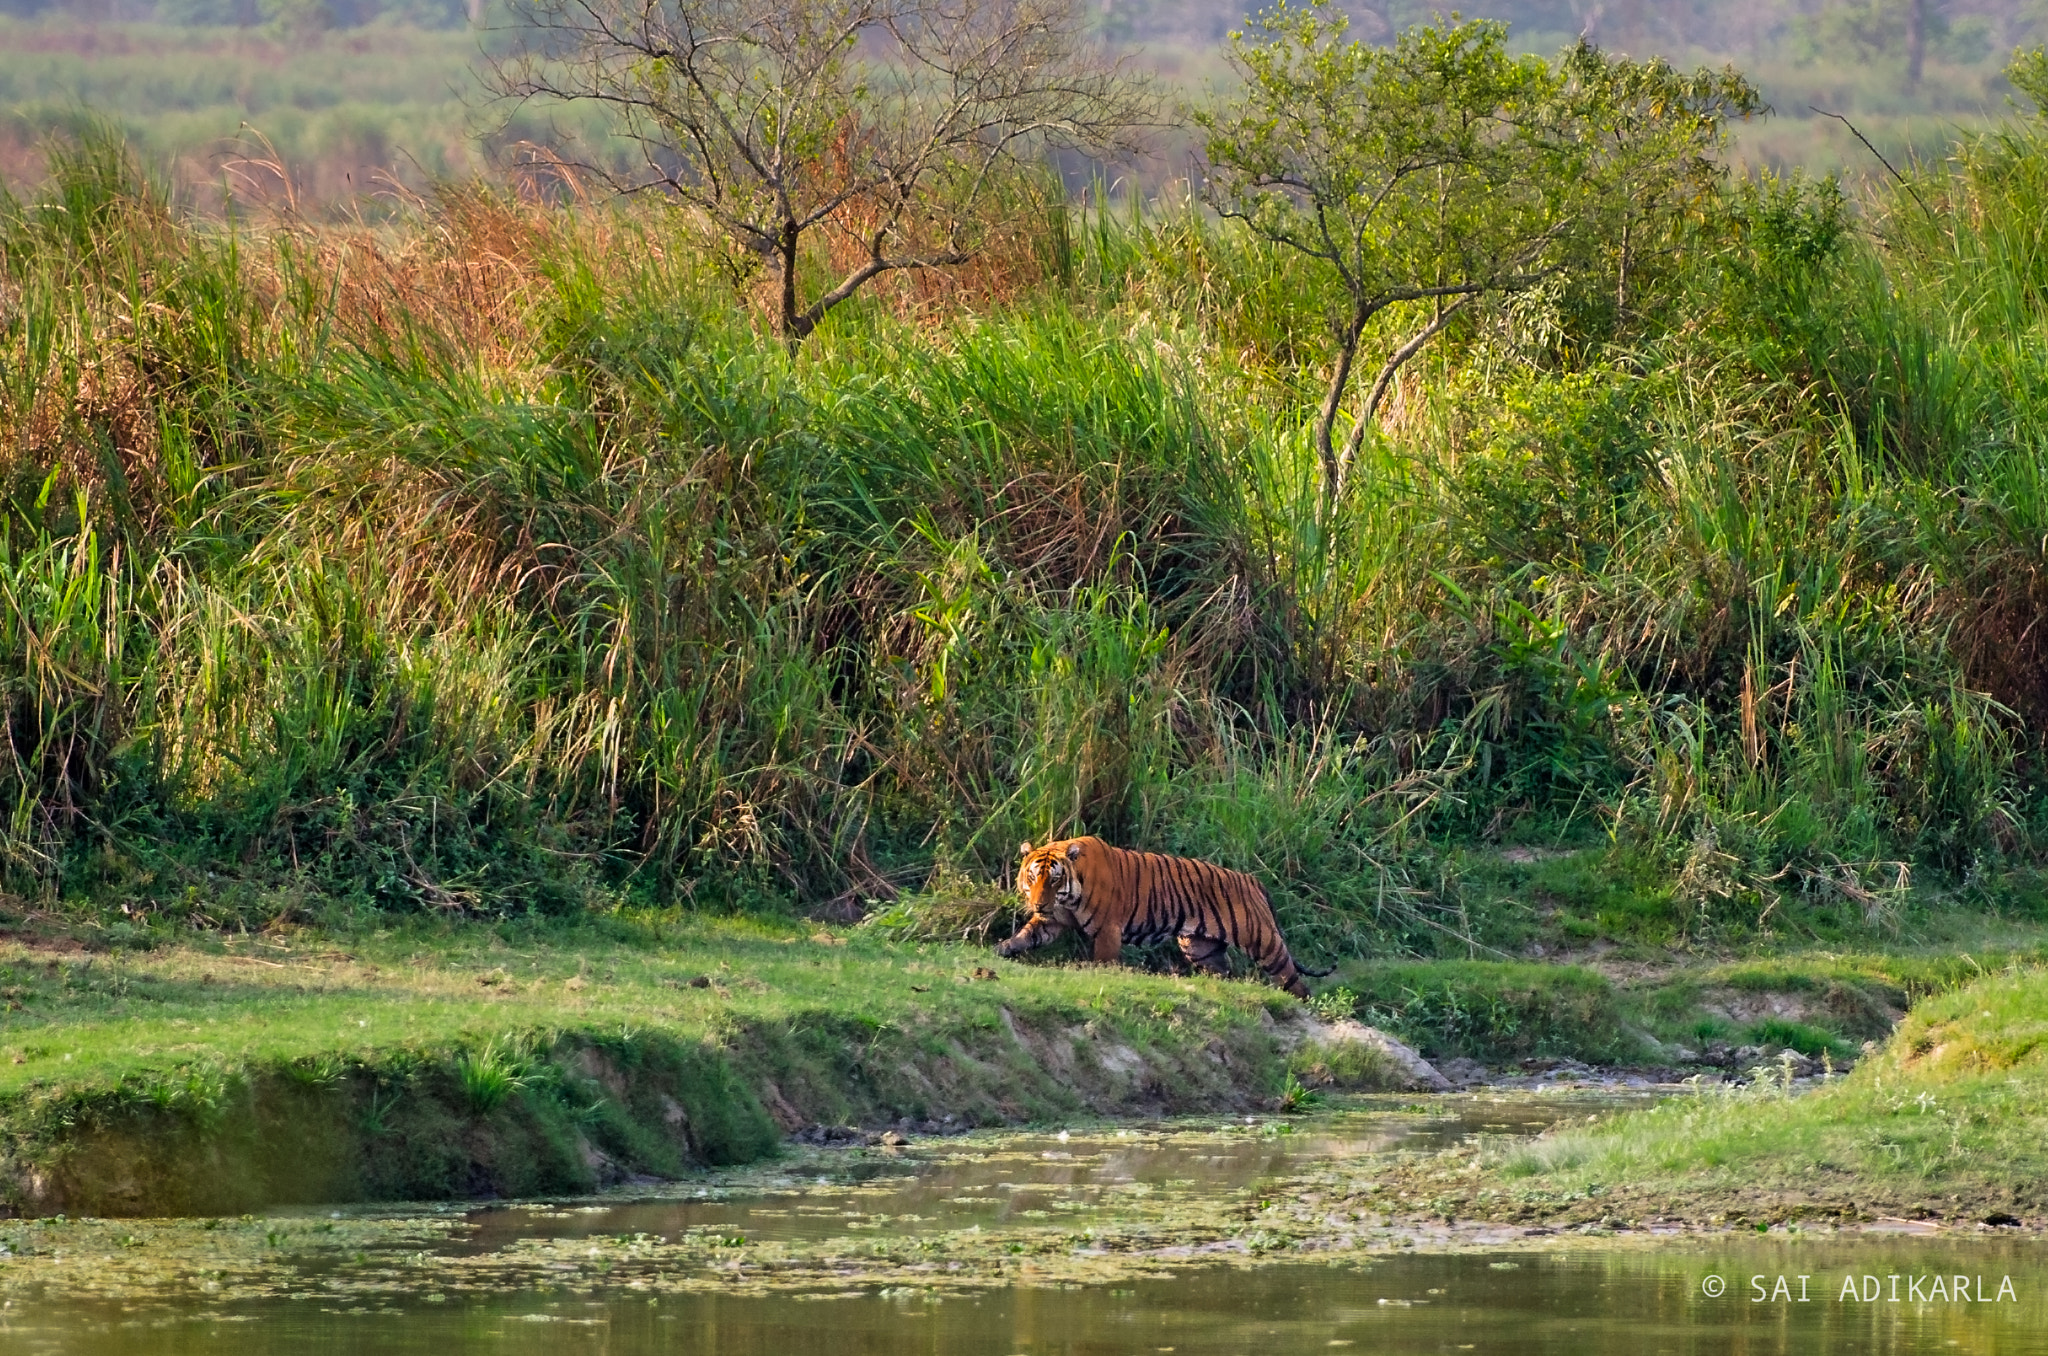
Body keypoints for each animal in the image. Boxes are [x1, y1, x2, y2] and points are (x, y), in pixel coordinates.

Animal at [996, 836, 1332, 999]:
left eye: (1054, 880)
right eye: (1033, 877)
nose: (1038, 903)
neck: (1068, 896)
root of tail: (1253, 880)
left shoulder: (1108, 929)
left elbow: (1103, 960)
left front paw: (1098, 973)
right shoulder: (1052, 921)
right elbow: (1024, 936)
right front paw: (1000, 950)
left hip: (1263, 941)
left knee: (1293, 981)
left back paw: (1304, 1002)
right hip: (1199, 947)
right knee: (1225, 972)